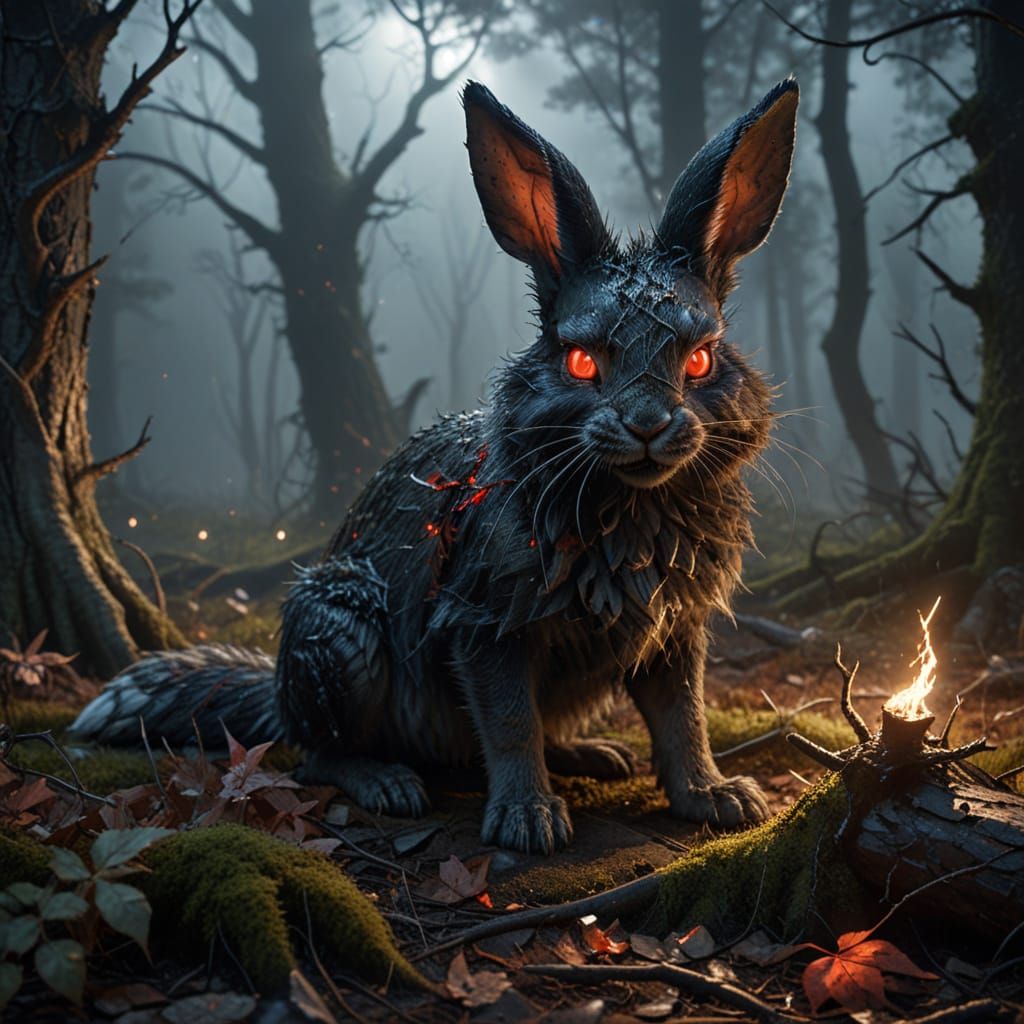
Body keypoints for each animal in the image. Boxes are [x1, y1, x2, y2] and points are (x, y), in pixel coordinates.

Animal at [71, 78, 799, 854]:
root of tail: (275, 692)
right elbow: (509, 724)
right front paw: (528, 819)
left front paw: (716, 798)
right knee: (316, 750)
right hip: (342, 634)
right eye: (579, 361)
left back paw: (592, 753)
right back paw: (387, 782)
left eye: (701, 360)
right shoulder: (482, 624)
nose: (649, 425)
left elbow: (682, 719)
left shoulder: (674, 632)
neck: (630, 504)